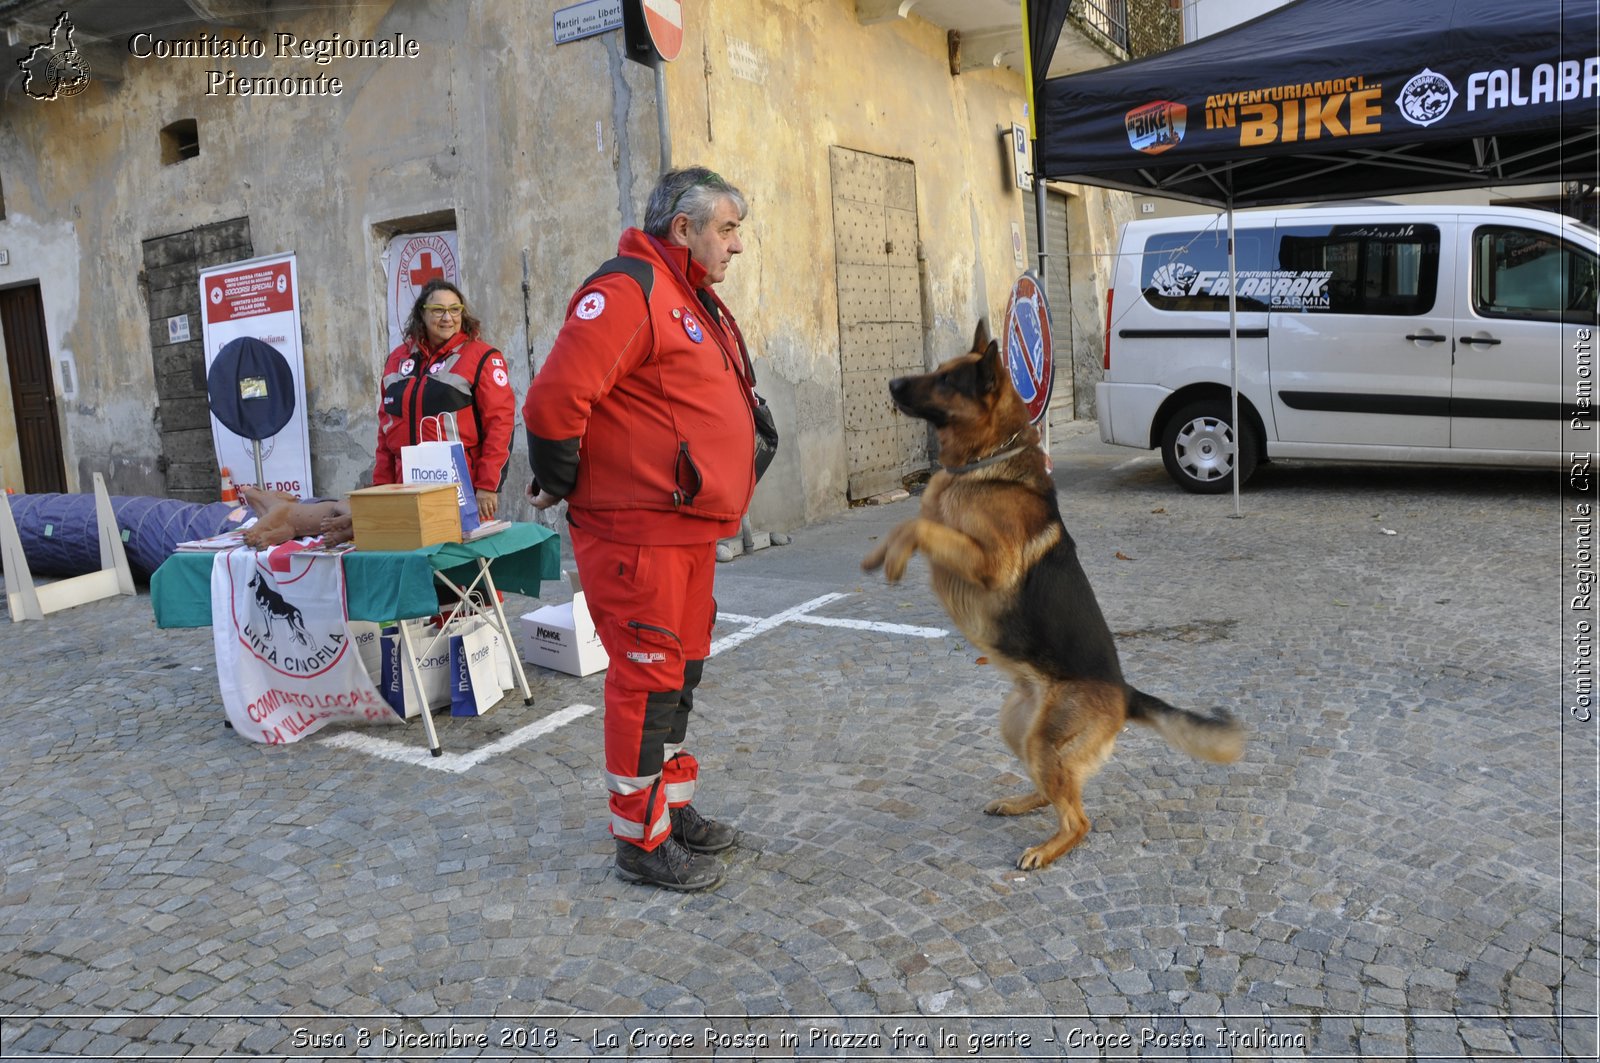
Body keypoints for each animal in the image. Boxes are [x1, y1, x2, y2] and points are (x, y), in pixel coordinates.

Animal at [864, 320, 1248, 870]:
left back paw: (1045, 851)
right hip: (1018, 727)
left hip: (1045, 742)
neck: (986, 463)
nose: (893, 384)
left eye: (945, 381)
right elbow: (914, 523)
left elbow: (918, 525)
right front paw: (882, 554)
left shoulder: (988, 562)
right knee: (1052, 794)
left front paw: (893, 555)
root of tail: (1125, 693)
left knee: (1079, 820)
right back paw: (1019, 802)